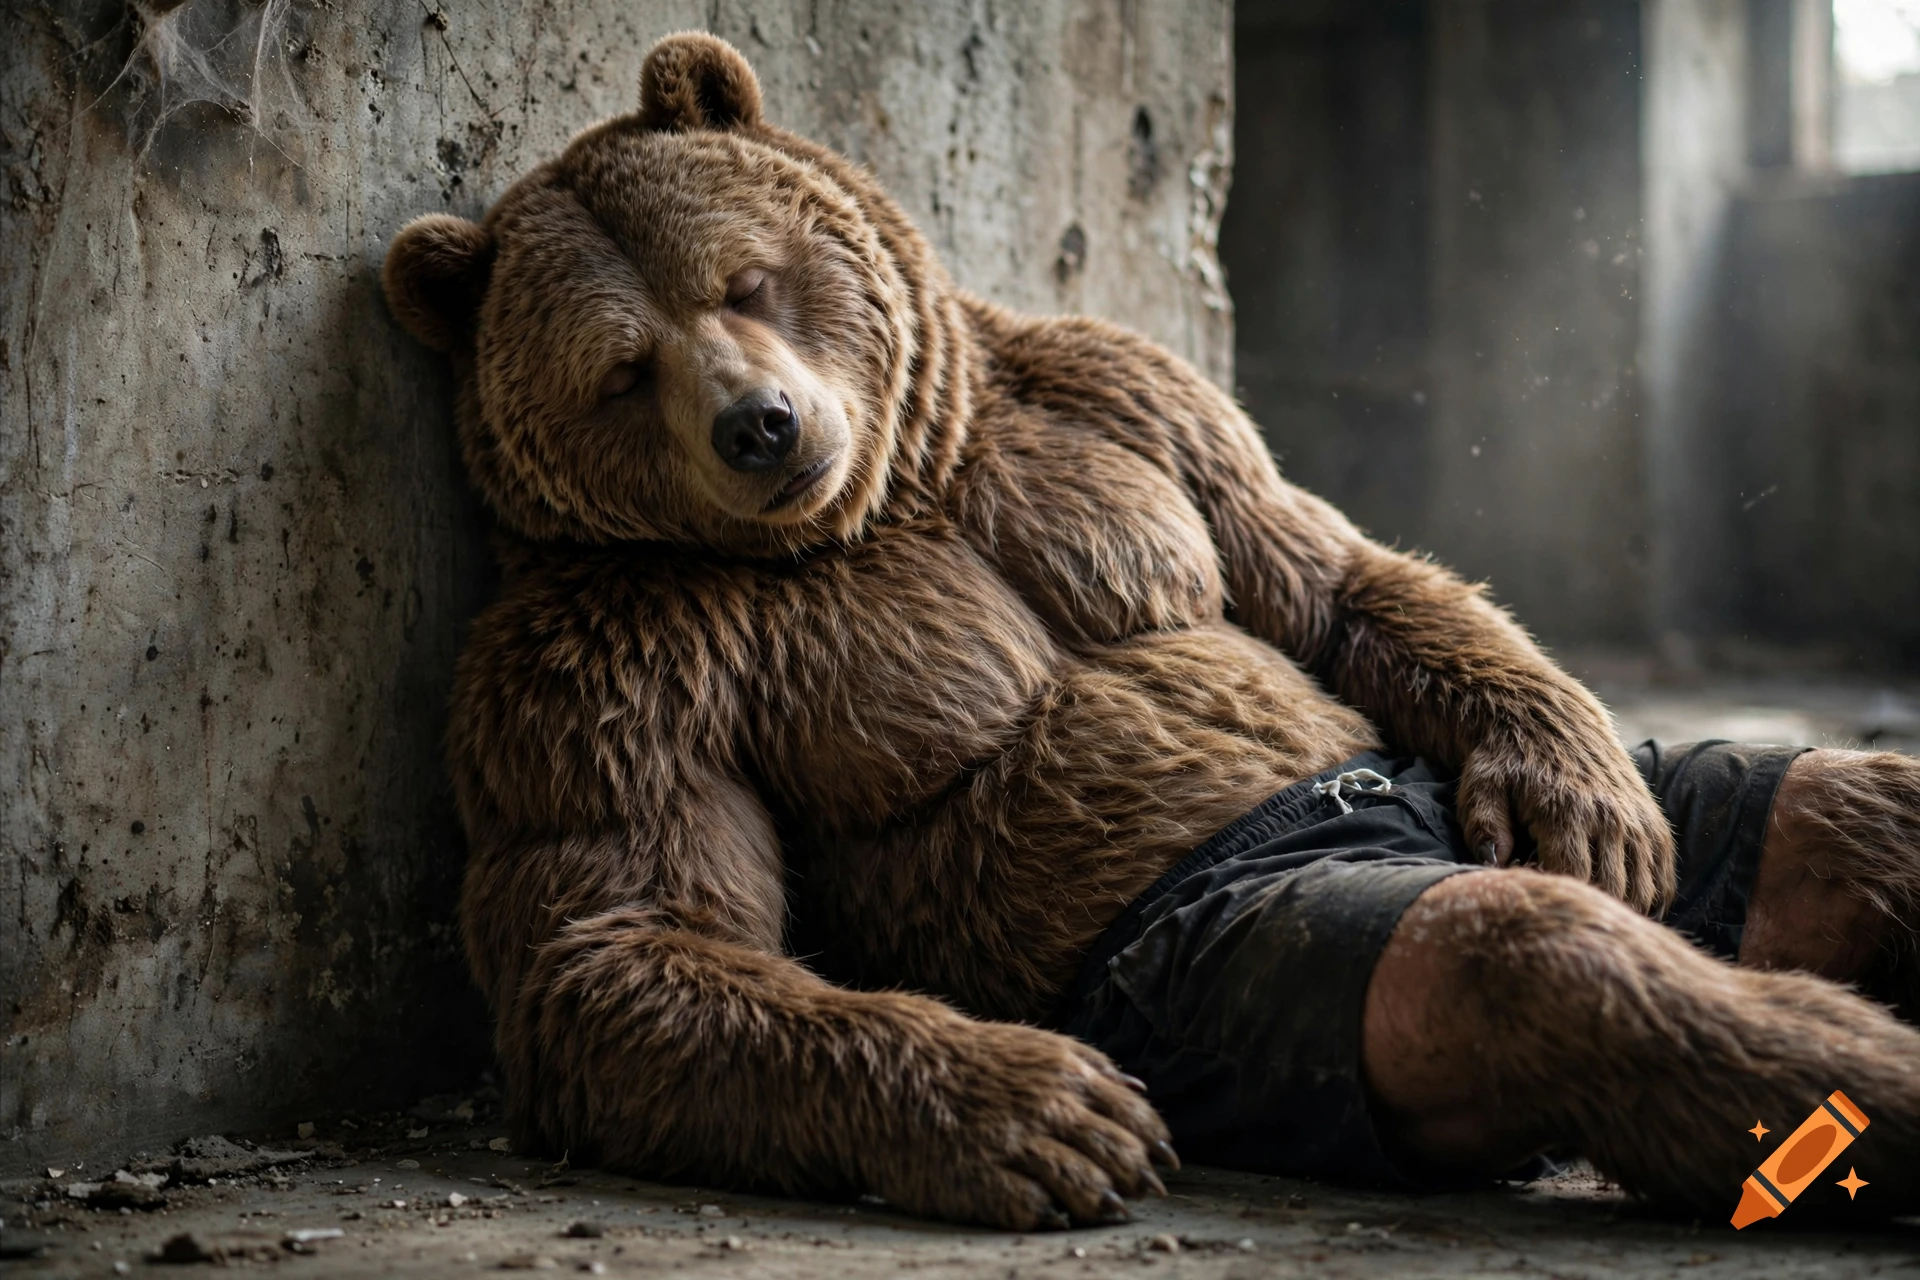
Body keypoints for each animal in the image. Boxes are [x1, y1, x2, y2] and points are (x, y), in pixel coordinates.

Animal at [383, 33, 1920, 1230]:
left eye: (744, 281)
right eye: (622, 369)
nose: (759, 424)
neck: (891, 489)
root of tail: (1387, 803)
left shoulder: (1121, 390)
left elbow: (1317, 570)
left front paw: (1570, 786)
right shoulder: (602, 664)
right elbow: (618, 935)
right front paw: (1020, 1103)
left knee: (1829, 808)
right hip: (1250, 955)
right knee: (1512, 957)